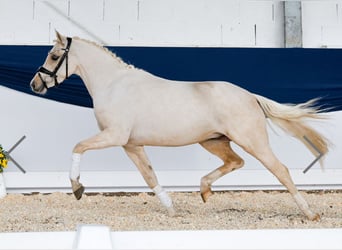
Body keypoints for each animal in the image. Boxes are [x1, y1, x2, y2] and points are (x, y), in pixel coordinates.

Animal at [31, 31, 328, 221]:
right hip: (213, 141)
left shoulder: (114, 136)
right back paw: (204, 191)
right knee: (235, 162)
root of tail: (250, 96)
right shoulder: (131, 144)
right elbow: (149, 176)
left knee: (281, 170)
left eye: (54, 56)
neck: (114, 85)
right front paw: (172, 209)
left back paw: (310, 214)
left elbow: (78, 146)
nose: (35, 85)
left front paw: (77, 188)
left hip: (252, 141)